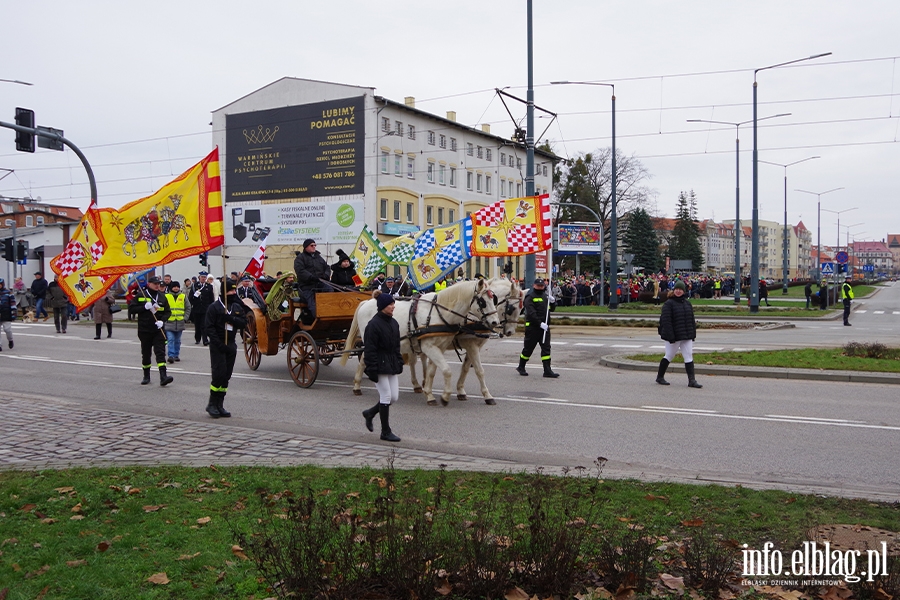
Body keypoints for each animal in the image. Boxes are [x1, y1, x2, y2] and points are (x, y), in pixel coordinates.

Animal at [342, 280, 502, 404]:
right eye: (482, 302)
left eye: (494, 299)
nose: (495, 322)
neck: (439, 313)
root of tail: (366, 302)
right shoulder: (434, 347)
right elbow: (448, 370)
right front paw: (445, 396)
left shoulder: (439, 347)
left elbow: (433, 372)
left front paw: (429, 394)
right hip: (371, 341)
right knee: (365, 360)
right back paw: (357, 386)